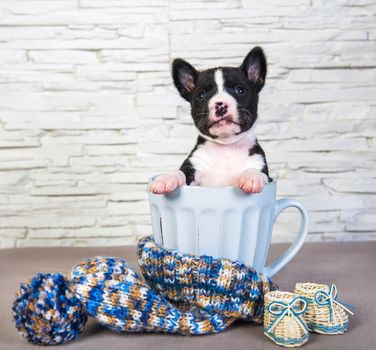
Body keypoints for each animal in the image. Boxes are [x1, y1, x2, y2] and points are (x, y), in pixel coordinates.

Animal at [149, 46, 270, 194]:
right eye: (201, 95)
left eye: (240, 90)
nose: (220, 104)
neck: (227, 147)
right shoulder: (192, 167)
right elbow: (180, 172)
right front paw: (166, 178)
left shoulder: (261, 166)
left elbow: (257, 172)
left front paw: (252, 177)